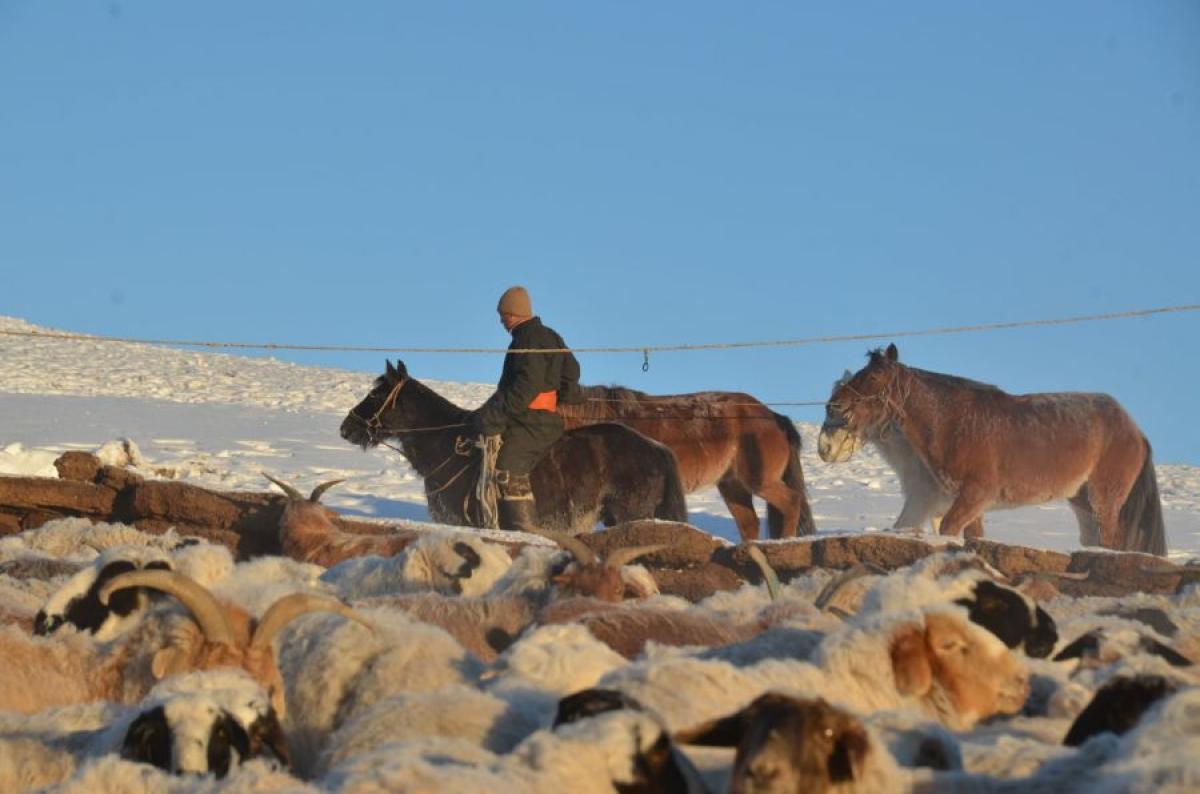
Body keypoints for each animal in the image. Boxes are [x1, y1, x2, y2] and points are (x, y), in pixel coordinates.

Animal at [820, 345, 1166, 556]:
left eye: (875, 375)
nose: (833, 405)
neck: (953, 422)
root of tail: (1134, 430)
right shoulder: (969, 503)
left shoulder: (973, 496)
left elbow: (948, 531)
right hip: (1082, 503)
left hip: (1103, 501)